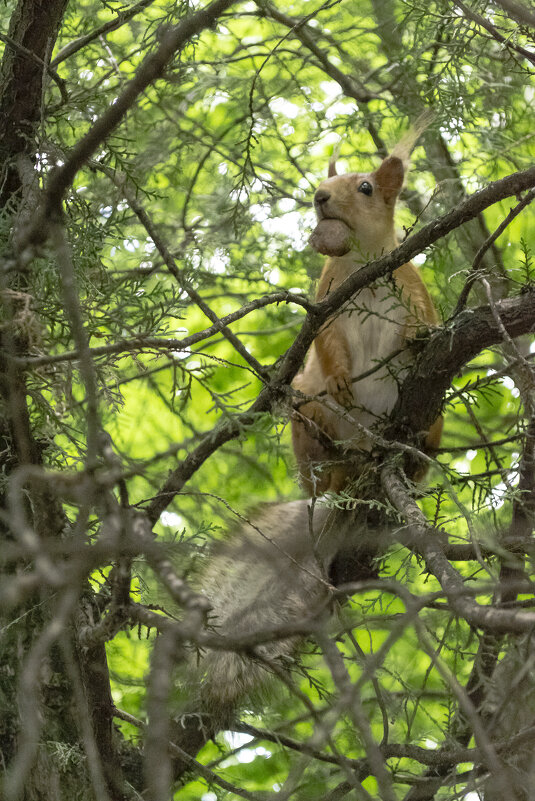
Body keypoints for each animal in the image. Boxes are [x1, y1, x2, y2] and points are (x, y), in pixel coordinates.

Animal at [292, 117, 442, 494]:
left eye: (365, 187)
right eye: (323, 183)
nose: (320, 196)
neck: (363, 266)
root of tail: (363, 447)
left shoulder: (409, 281)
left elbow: (423, 315)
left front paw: (416, 334)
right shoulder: (327, 298)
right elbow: (326, 337)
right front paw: (338, 379)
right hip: (306, 402)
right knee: (324, 473)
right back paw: (330, 468)